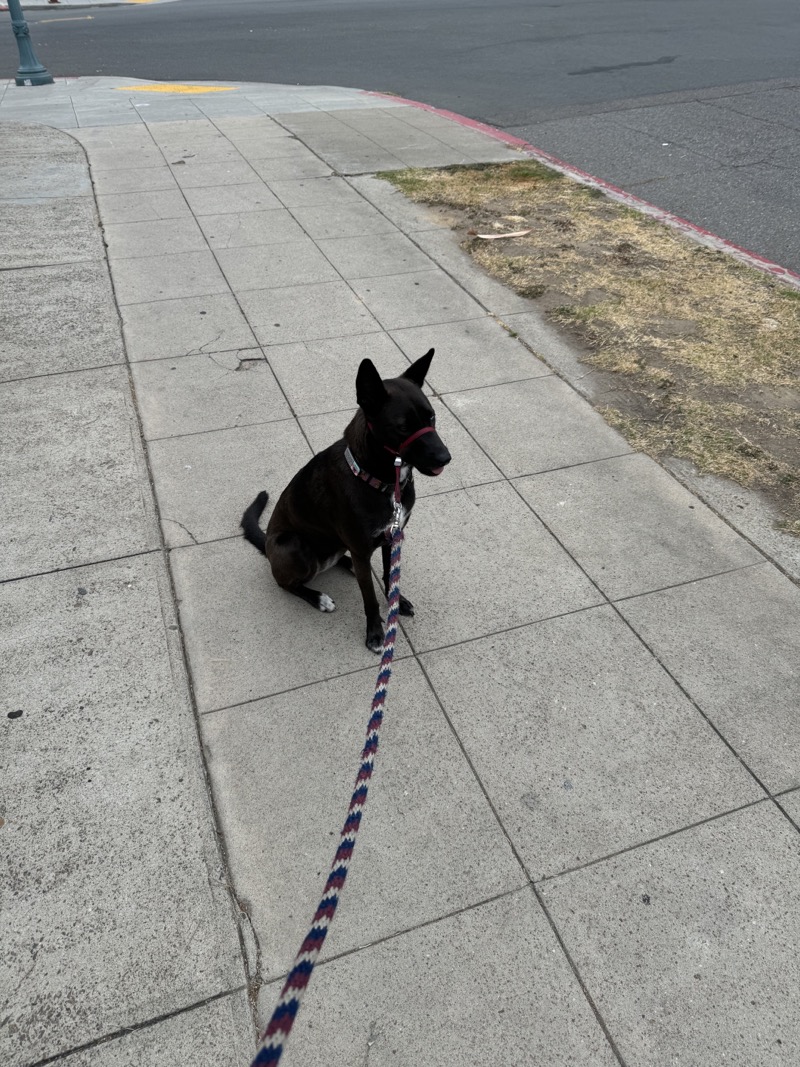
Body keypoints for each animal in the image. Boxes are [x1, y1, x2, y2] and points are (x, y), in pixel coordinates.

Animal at [241, 349, 452, 648]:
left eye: (431, 417)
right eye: (402, 427)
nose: (446, 458)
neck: (380, 482)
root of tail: (268, 546)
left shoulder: (392, 535)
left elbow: (389, 575)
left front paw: (396, 601)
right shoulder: (365, 544)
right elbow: (369, 598)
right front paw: (375, 632)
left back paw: (349, 564)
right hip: (292, 546)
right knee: (287, 583)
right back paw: (317, 597)